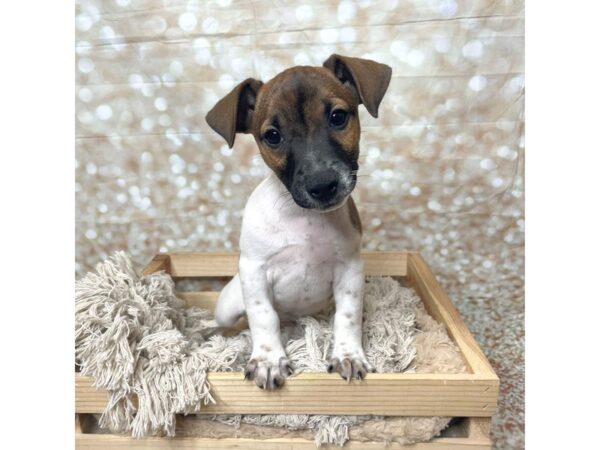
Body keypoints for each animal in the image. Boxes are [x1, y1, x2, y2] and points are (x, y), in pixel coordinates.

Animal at [206, 54, 394, 388]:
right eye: (272, 136)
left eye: (337, 117)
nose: (322, 185)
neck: (305, 218)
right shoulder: (254, 272)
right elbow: (263, 317)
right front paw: (268, 360)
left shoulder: (349, 271)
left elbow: (347, 316)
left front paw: (348, 355)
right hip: (228, 305)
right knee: (229, 322)